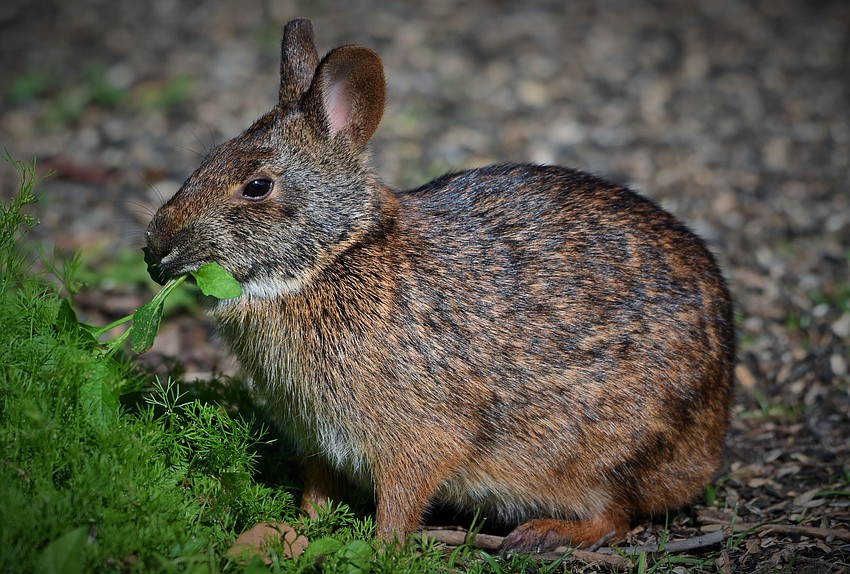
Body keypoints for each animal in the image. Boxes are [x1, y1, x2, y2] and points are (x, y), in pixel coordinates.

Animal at [145, 18, 735, 554]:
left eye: (257, 186)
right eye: (208, 157)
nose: (155, 251)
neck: (336, 257)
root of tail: (715, 430)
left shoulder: (418, 439)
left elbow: (400, 502)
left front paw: (379, 551)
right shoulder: (318, 442)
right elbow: (317, 491)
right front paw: (294, 530)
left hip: (602, 454)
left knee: (617, 515)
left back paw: (541, 535)